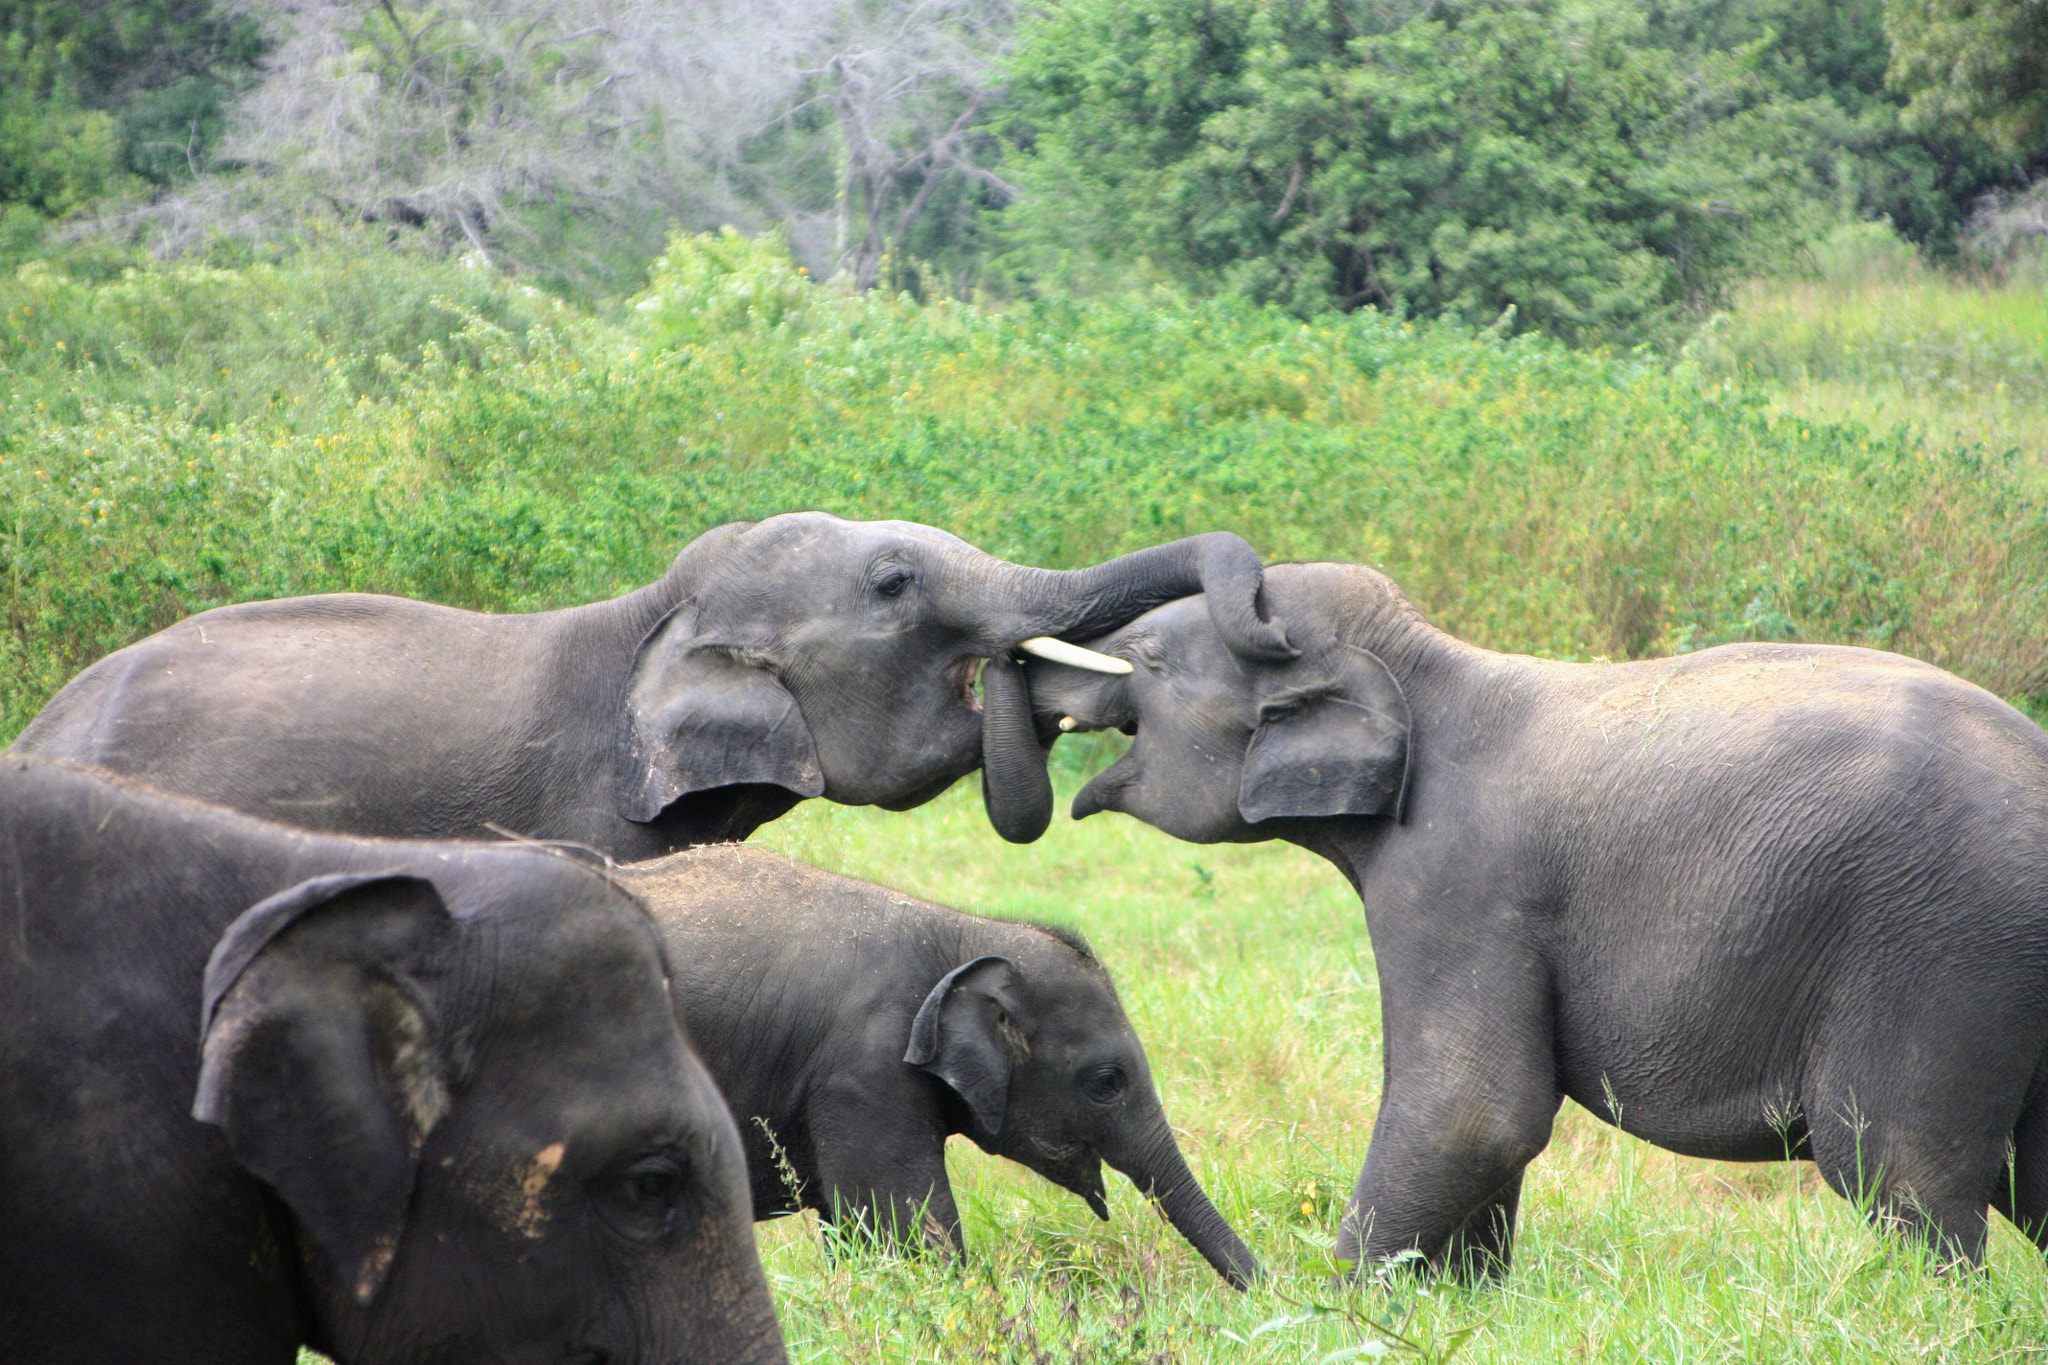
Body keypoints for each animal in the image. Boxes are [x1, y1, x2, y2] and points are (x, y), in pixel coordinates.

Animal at [610, 843, 1261, 1293]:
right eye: (1107, 1083)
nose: (1270, 1292)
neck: (960, 933)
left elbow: (856, 1234)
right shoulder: (865, 1071)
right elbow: (911, 1235)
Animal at [1032, 564, 2048, 1285]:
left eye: (1150, 659)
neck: (1424, 666)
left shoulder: (1460, 880)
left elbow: (1474, 1108)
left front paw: (1347, 1307)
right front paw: (1462, 1297)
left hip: (1943, 943)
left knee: (1895, 1168)